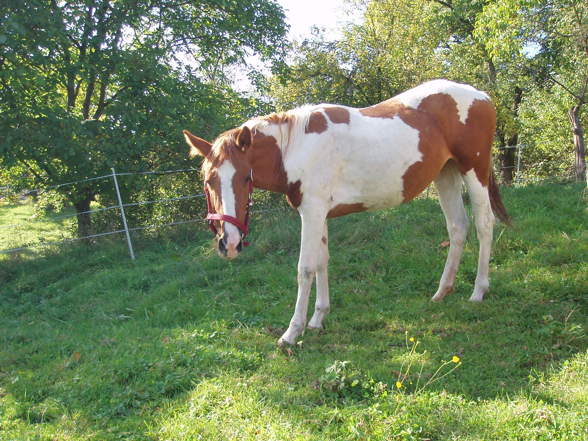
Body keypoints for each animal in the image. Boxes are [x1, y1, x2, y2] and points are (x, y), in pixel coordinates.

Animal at [184, 80, 510, 348]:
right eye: (208, 180)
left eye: (245, 178)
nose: (229, 244)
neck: (296, 147)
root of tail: (482, 96)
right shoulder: (318, 214)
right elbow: (322, 262)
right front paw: (318, 319)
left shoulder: (312, 212)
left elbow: (305, 269)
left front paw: (292, 332)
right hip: (446, 174)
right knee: (457, 227)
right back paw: (442, 291)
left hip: (474, 170)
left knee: (484, 224)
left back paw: (478, 291)